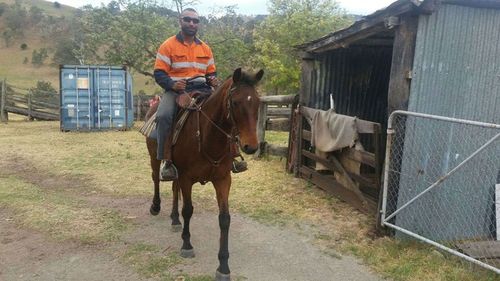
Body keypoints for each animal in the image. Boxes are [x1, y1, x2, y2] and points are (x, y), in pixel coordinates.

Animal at [145, 68, 264, 280]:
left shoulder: (223, 179)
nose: (251, 146)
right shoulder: (187, 178)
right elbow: (188, 210)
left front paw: (223, 266)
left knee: (174, 188)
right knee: (156, 179)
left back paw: (174, 219)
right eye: (235, 102)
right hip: (155, 157)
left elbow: (224, 219)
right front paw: (186, 245)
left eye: (257, 102)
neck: (208, 137)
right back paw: (156, 207)